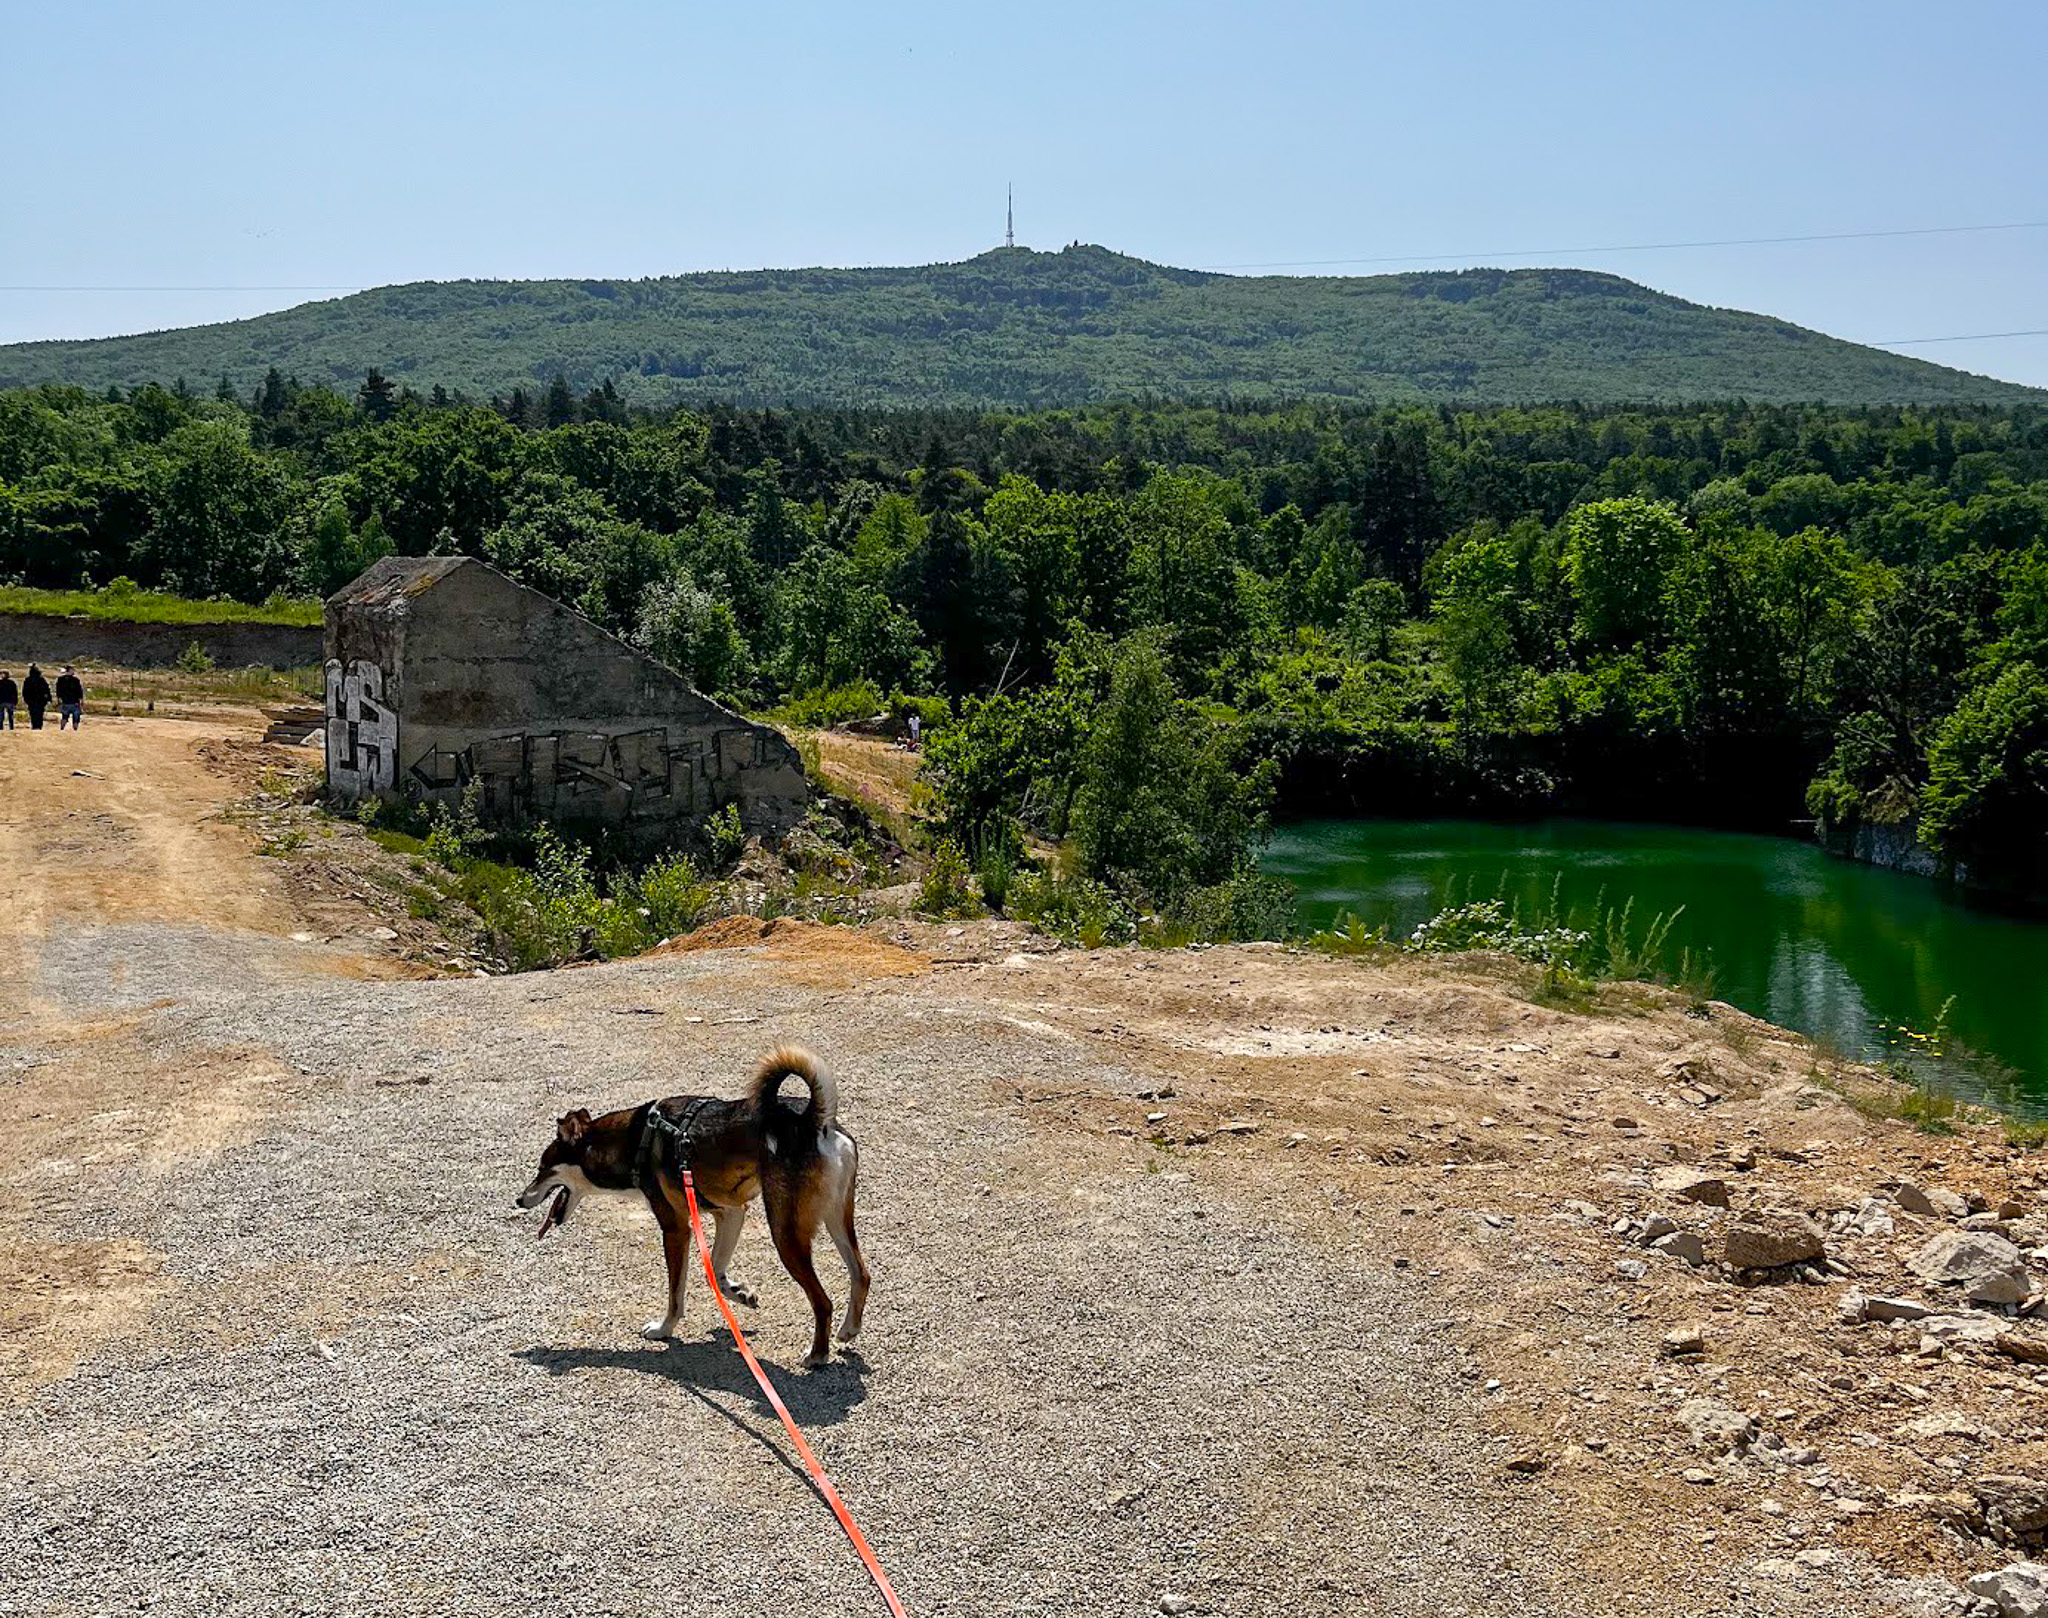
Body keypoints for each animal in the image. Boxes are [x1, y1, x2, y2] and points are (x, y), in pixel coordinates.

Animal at [516, 1048, 868, 1368]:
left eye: (542, 1168)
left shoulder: (676, 1229)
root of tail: (815, 1119)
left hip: (785, 1233)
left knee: (822, 1301)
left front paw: (663, 1328)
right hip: (837, 1220)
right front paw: (740, 1292)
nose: (519, 1200)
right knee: (861, 1274)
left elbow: (676, 1292)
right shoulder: (730, 1212)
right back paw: (848, 1330)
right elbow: (715, 1271)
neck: (634, 1139)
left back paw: (817, 1355)